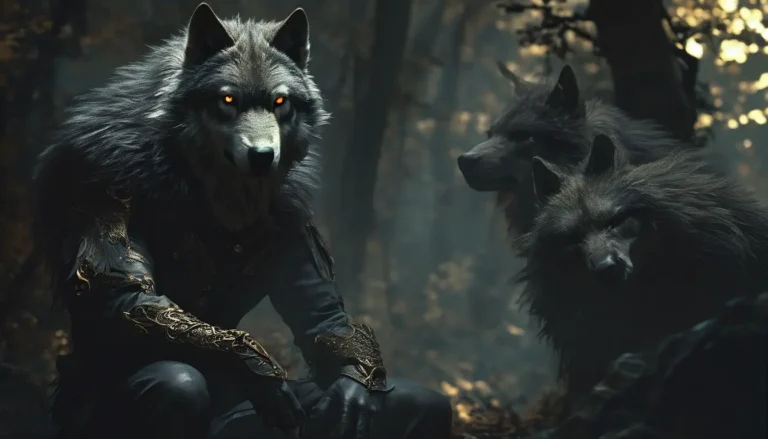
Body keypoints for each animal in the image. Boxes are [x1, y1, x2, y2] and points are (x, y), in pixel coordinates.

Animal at [30, 4, 451, 439]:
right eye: (228, 99)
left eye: (280, 101)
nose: (264, 156)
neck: (214, 188)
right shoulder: (108, 188)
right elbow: (133, 301)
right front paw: (258, 374)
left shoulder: (294, 220)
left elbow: (327, 323)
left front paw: (351, 391)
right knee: (176, 381)